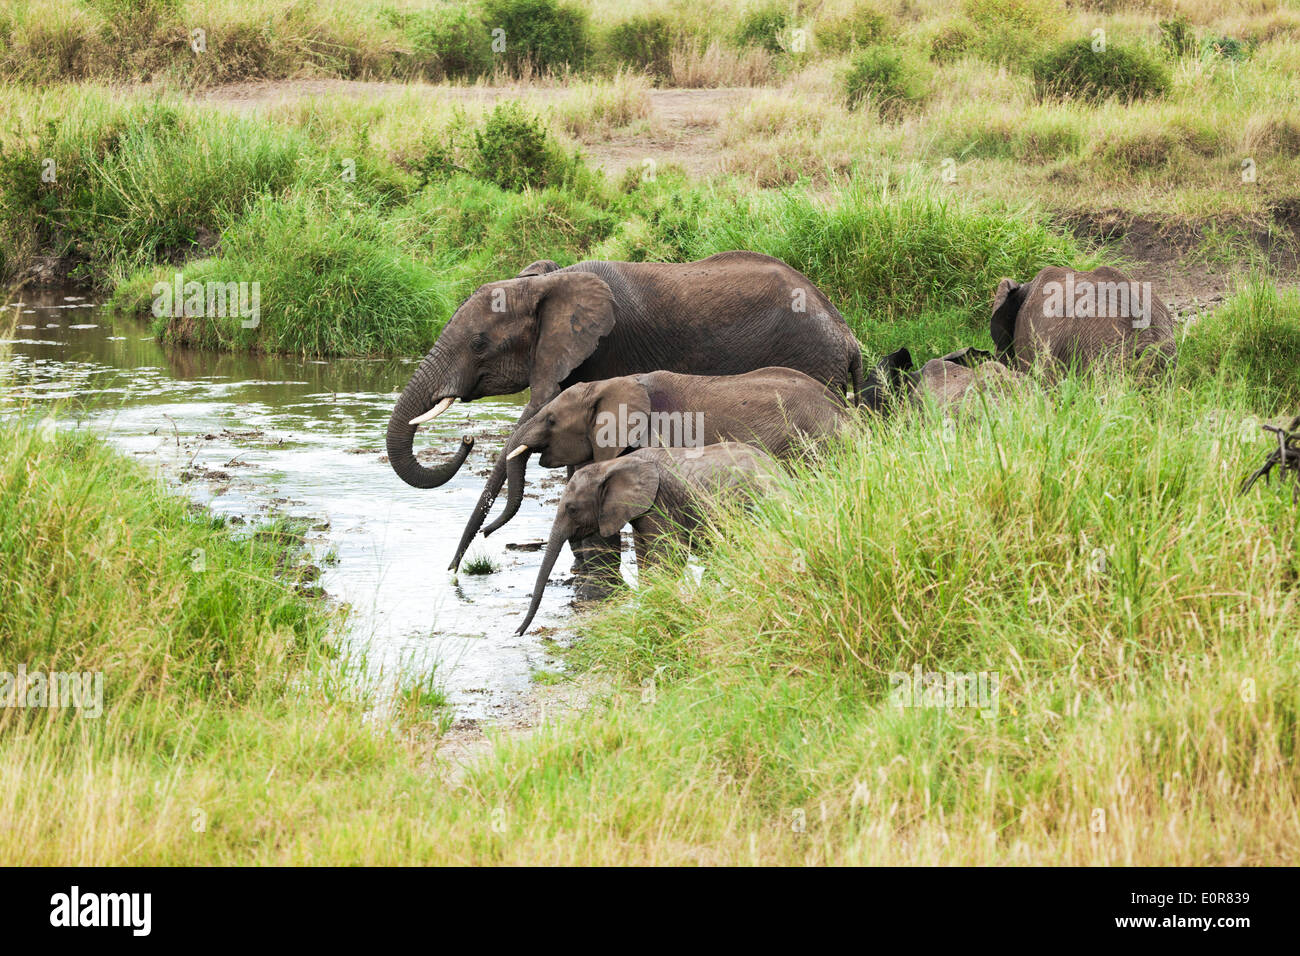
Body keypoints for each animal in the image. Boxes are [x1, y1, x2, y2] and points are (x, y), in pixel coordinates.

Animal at [517, 444, 780, 639]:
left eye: (572, 509)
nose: (518, 633)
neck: (610, 466)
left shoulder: (659, 501)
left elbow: (670, 553)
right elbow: (645, 555)